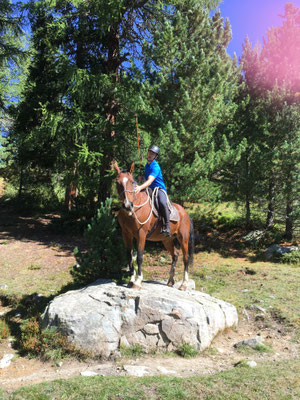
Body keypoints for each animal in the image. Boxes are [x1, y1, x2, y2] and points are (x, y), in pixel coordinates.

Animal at [113, 161, 195, 290]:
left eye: (132, 182)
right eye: (118, 182)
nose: (127, 205)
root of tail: (185, 213)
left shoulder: (141, 234)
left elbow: (139, 257)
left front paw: (138, 282)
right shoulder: (126, 234)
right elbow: (129, 257)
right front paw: (131, 280)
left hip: (183, 238)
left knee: (185, 258)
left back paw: (183, 284)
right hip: (167, 240)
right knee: (175, 255)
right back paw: (170, 280)